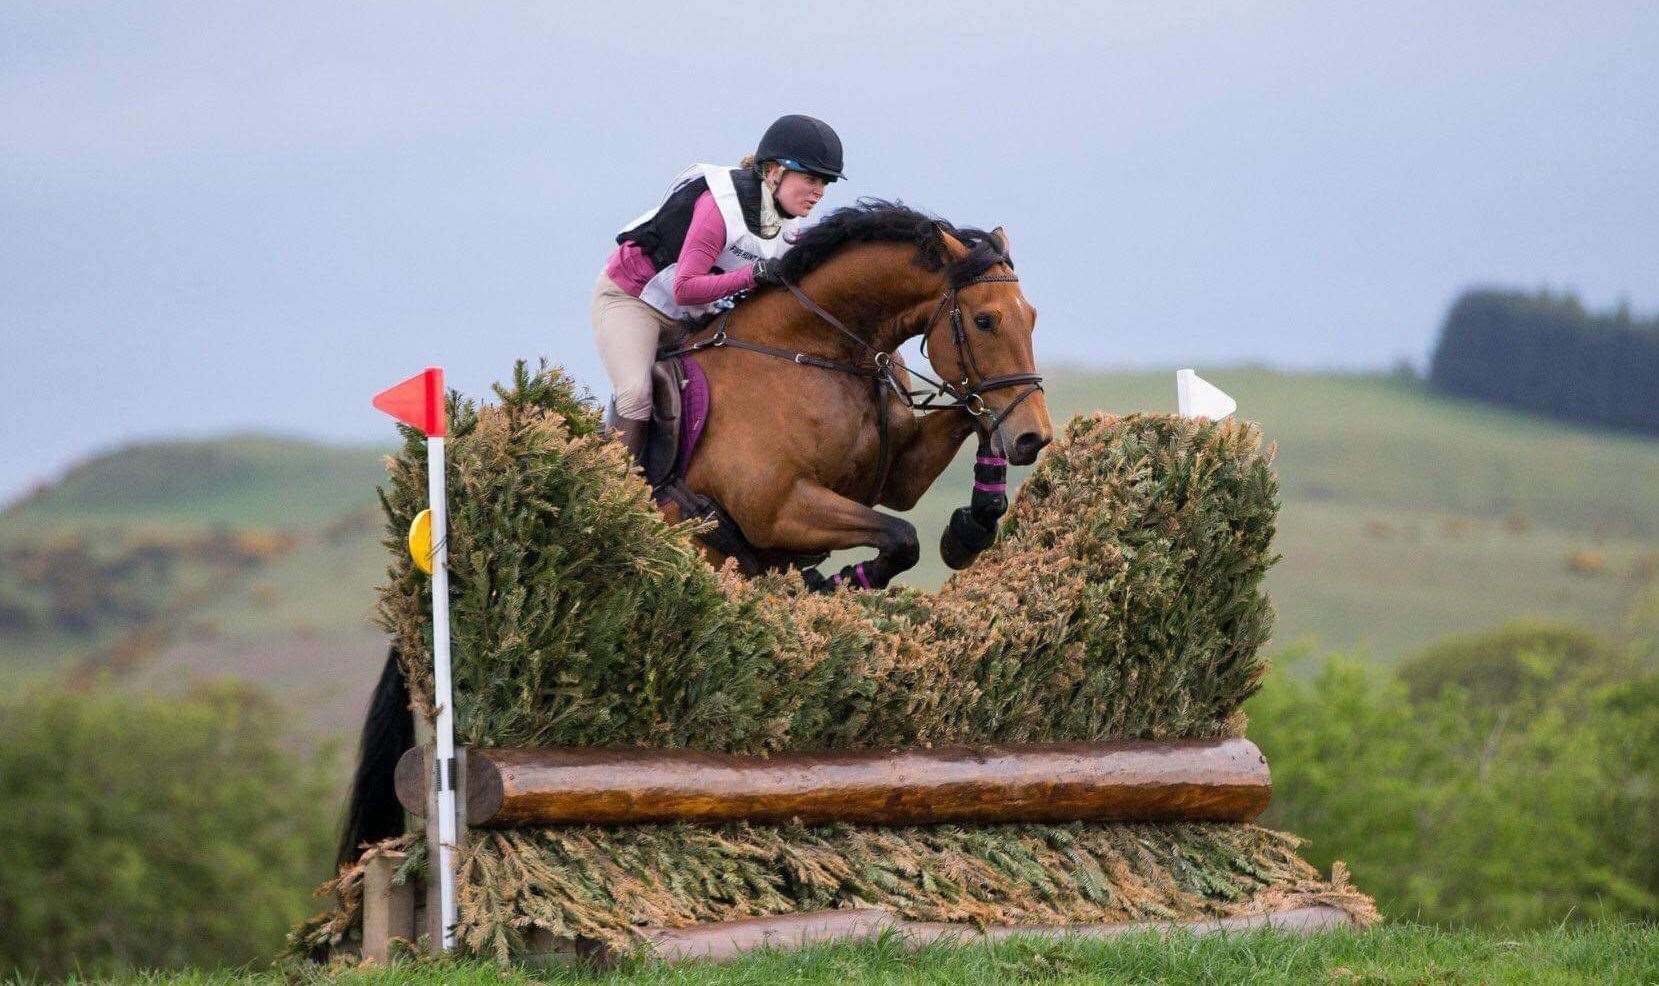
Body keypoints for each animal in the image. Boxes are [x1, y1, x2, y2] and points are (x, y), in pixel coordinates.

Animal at [335, 203, 1048, 863]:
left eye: (1032, 317)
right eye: (984, 320)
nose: (1033, 439)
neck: (821, 352)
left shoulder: (893, 474)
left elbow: (962, 425)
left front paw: (973, 523)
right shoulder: (779, 507)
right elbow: (899, 537)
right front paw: (839, 582)